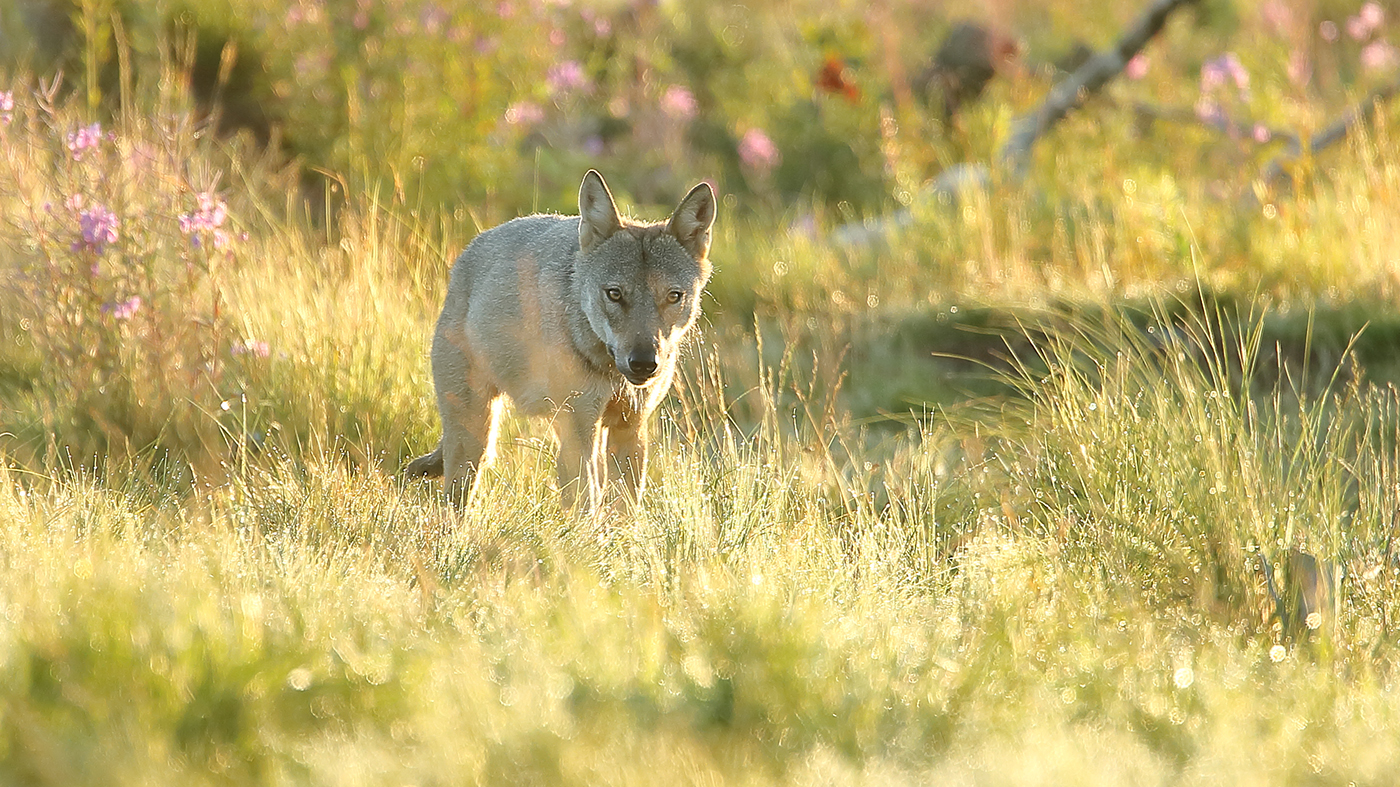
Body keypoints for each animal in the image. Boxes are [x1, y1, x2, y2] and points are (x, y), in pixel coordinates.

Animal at [405, 170, 716, 512]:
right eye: (614, 294)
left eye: (673, 296)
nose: (645, 363)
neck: (609, 371)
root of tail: (470, 251)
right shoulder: (577, 430)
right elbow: (588, 504)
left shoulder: (629, 427)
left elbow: (623, 507)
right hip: (476, 440)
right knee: (456, 496)